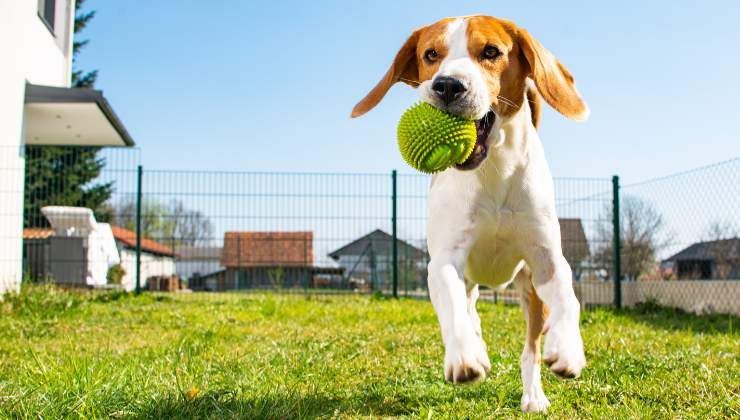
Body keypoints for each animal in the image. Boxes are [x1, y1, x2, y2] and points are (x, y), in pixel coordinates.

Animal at [352, 15, 588, 414]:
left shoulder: (546, 260)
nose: (447, 85)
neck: (494, 169)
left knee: (530, 348)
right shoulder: (445, 261)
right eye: (431, 55)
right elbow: (452, 304)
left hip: (529, 291)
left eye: (491, 52)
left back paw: (533, 395)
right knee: (468, 308)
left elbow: (568, 300)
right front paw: (465, 356)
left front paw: (568, 347)